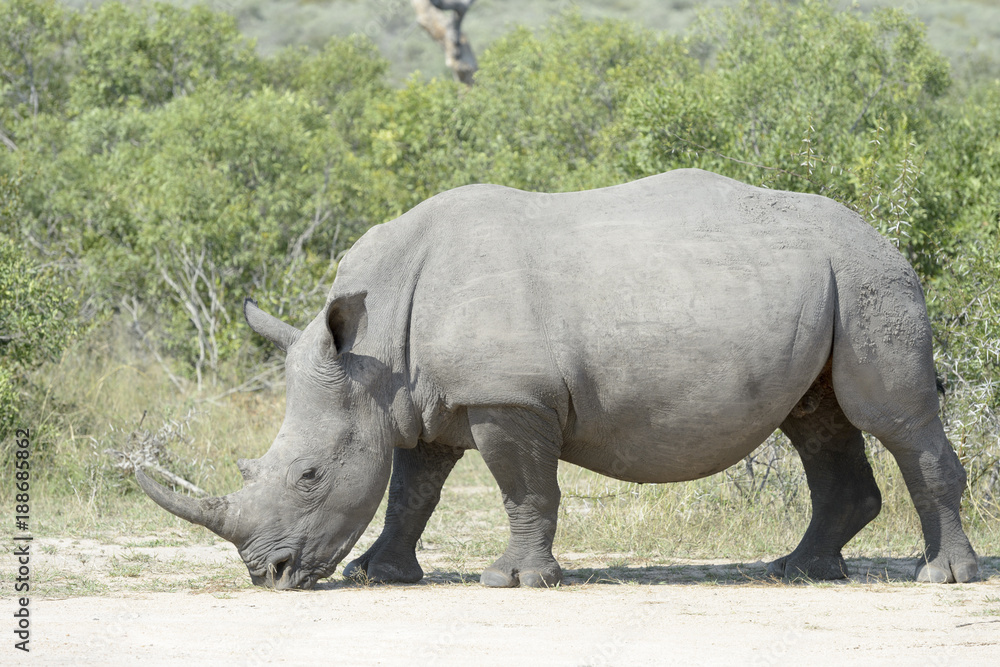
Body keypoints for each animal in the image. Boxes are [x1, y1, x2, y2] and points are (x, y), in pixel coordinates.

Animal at [137, 169, 979, 589]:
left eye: (310, 474)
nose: (266, 574)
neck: (374, 347)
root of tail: (885, 234)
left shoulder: (508, 397)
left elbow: (523, 488)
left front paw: (512, 581)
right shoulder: (421, 398)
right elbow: (413, 488)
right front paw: (381, 573)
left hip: (872, 280)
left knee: (892, 419)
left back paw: (941, 577)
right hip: (829, 280)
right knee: (817, 421)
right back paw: (797, 571)